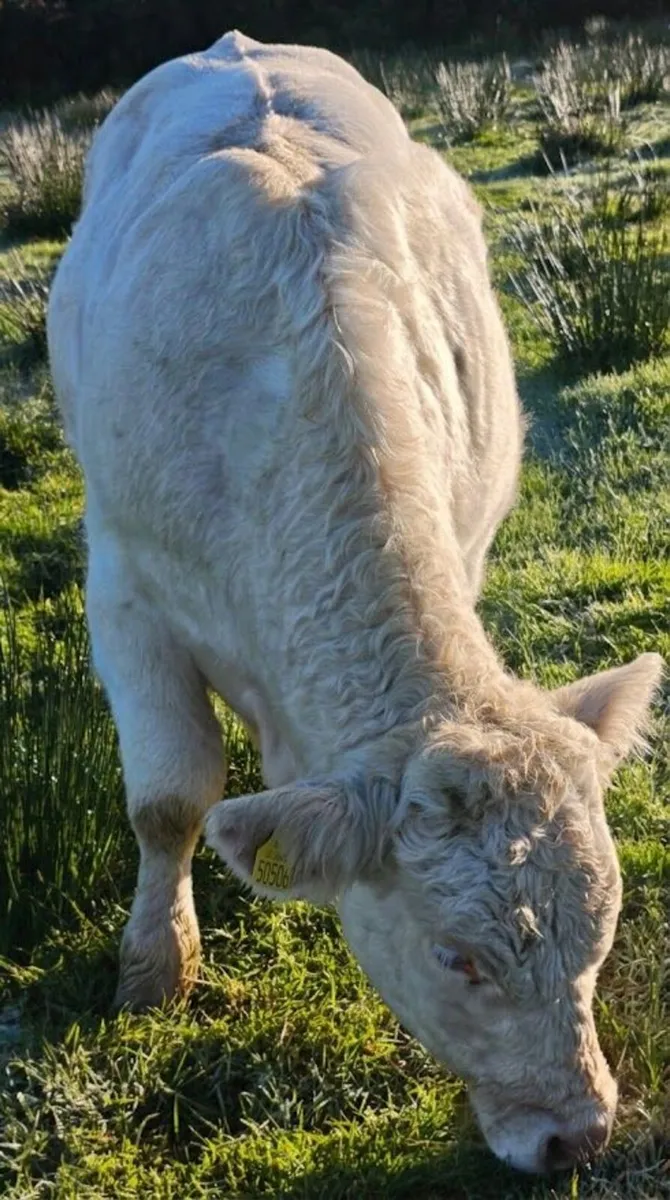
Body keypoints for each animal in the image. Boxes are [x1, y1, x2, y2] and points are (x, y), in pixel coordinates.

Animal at [47, 31, 663, 1175]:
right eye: (457, 957)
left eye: (601, 929)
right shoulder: (124, 586)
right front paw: (155, 969)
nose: (577, 1135)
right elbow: (169, 801)